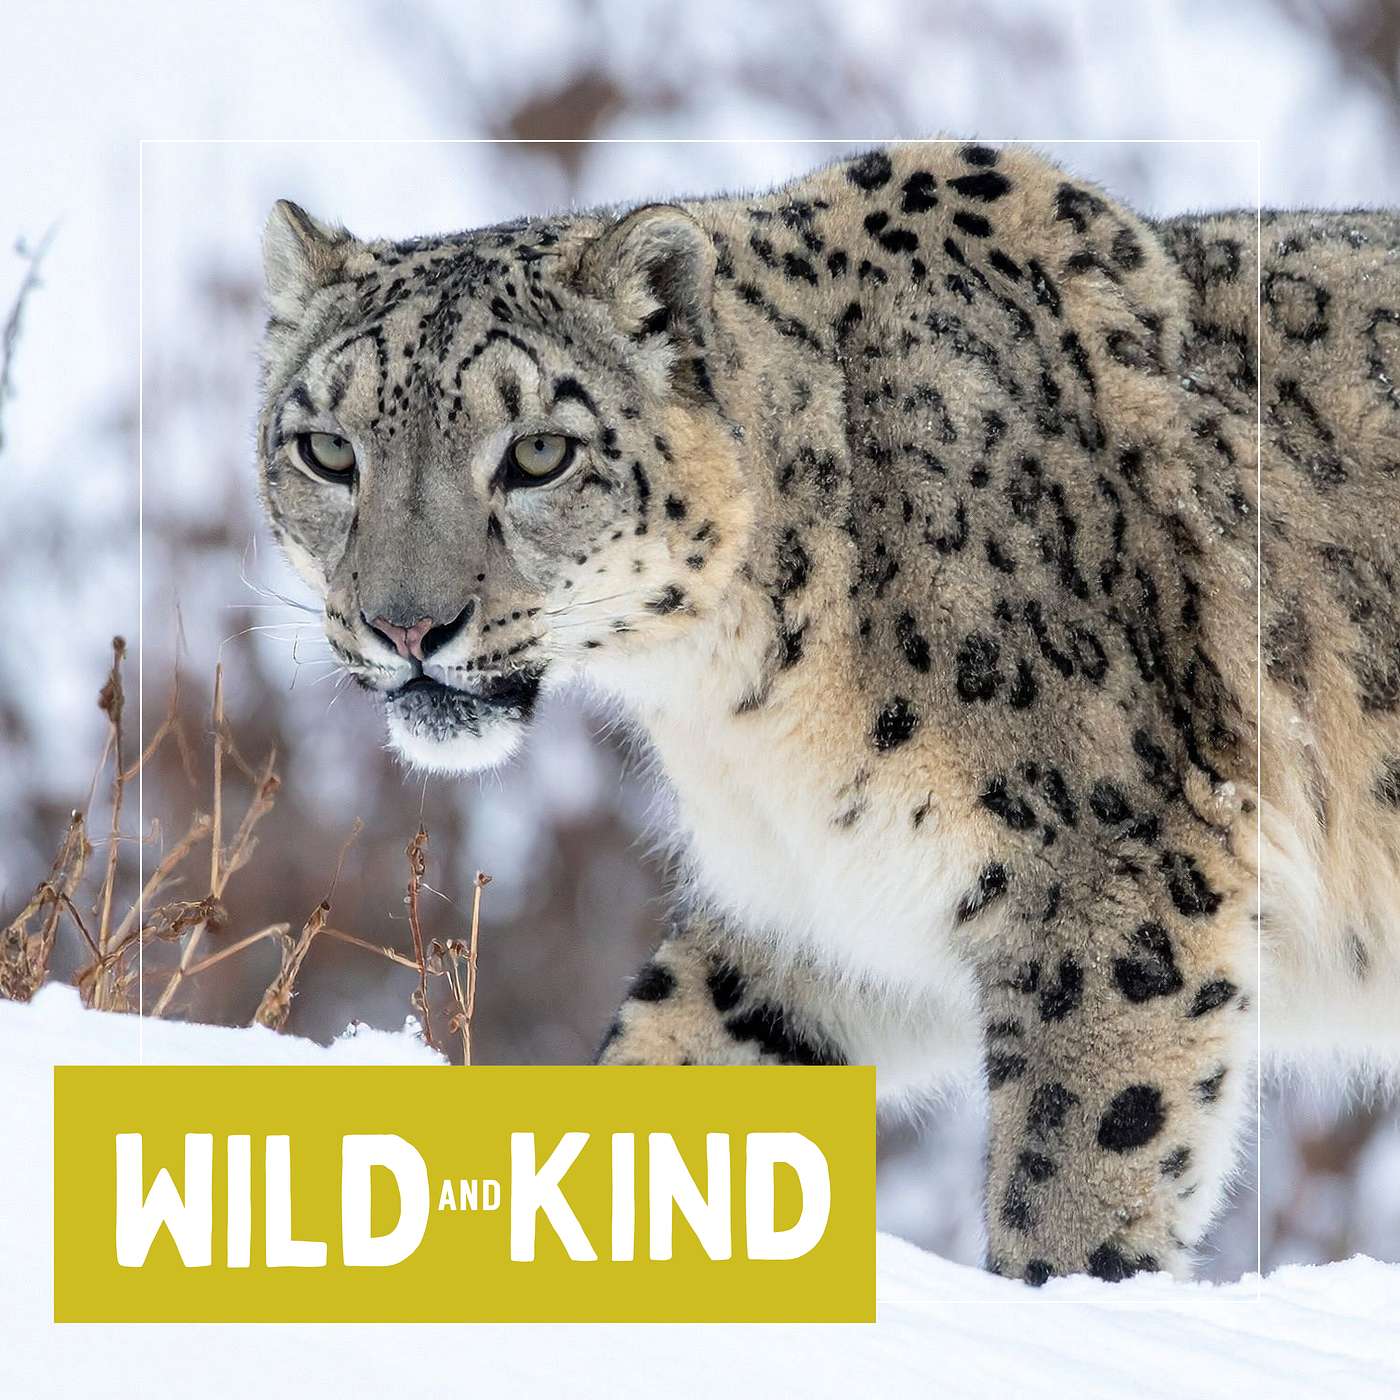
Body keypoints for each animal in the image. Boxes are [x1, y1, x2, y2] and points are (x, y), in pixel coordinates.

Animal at [255, 141, 1400, 1285]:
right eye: (326, 450)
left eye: (540, 453)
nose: (406, 625)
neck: (741, 710)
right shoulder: (806, 919)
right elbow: (663, 1054)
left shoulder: (1109, 873)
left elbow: (1074, 1164)